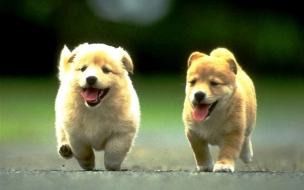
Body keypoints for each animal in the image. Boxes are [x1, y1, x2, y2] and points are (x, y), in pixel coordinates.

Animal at [55, 43, 141, 171]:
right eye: (83, 69)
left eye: (106, 70)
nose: (90, 78)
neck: (95, 109)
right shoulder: (75, 134)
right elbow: (83, 152)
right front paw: (88, 164)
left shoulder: (122, 132)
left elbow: (114, 150)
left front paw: (113, 166)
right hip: (60, 120)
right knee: (61, 134)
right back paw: (65, 149)